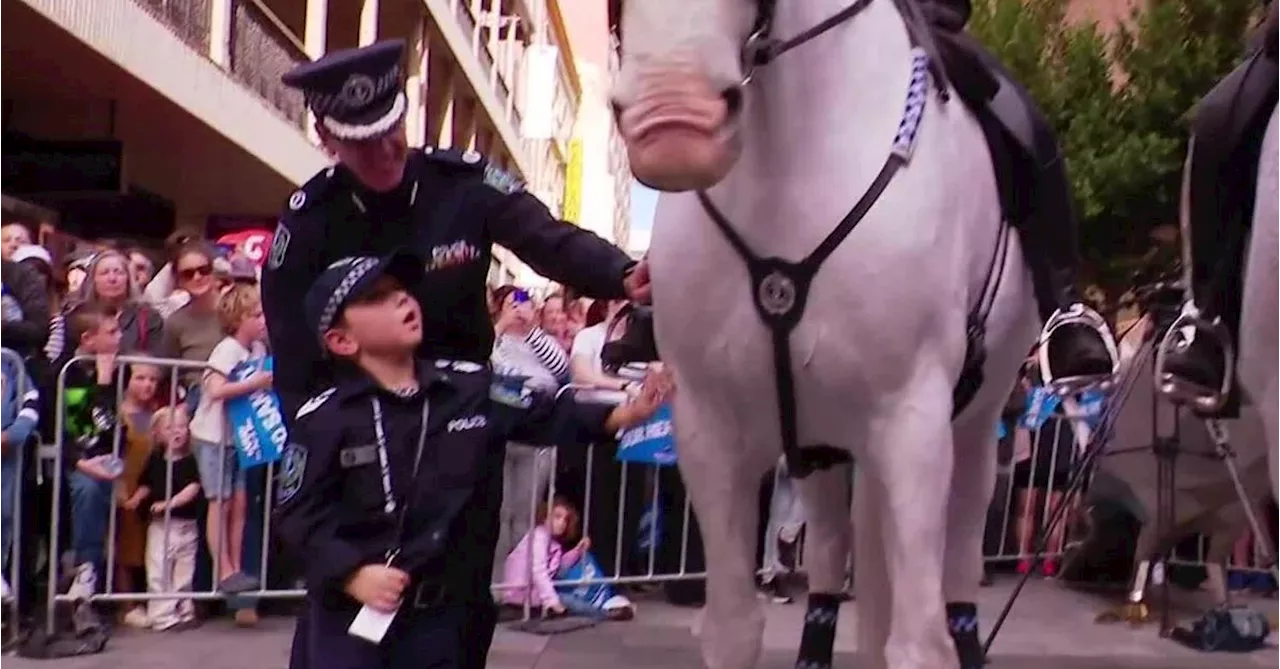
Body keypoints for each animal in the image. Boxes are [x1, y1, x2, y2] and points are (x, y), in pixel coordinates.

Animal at [609, 1, 1039, 669]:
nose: (674, 119)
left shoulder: (913, 422)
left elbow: (919, 646)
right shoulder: (709, 428)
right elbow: (734, 629)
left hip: (972, 427)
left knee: (959, 561)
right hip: (818, 441)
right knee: (832, 557)